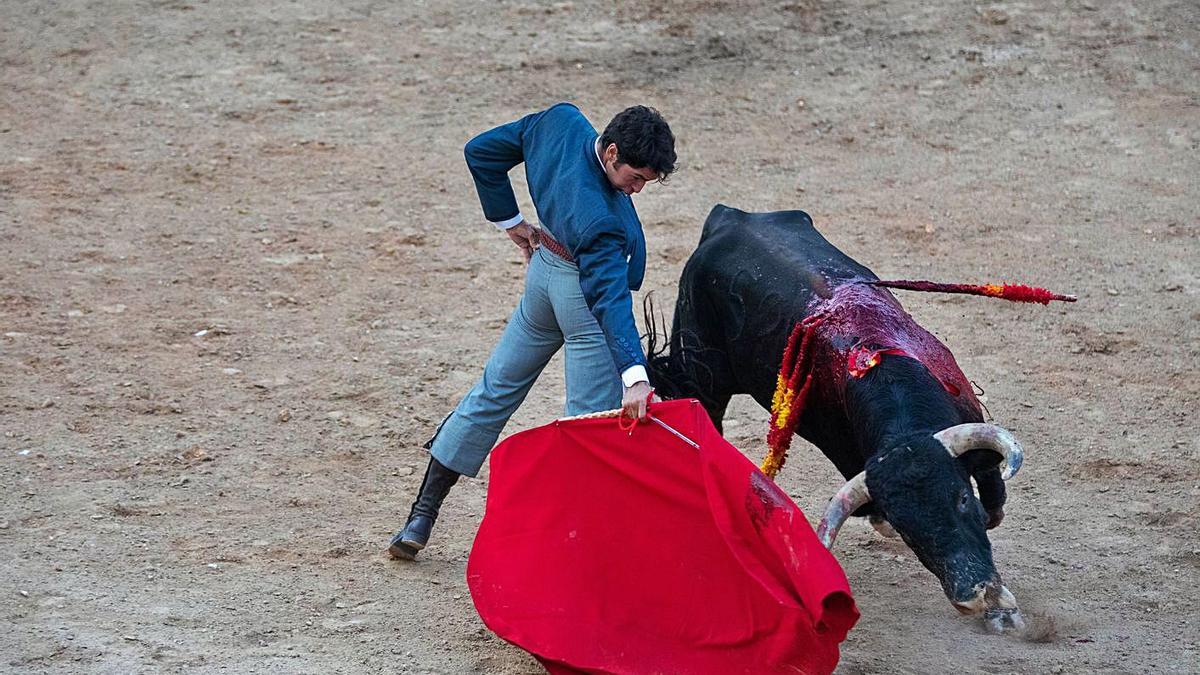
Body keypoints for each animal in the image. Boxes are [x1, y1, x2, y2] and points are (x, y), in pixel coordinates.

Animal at [652, 201, 1027, 624]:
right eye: (908, 530)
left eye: (961, 498)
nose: (971, 595)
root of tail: (727, 216)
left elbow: (991, 491)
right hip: (702, 372)